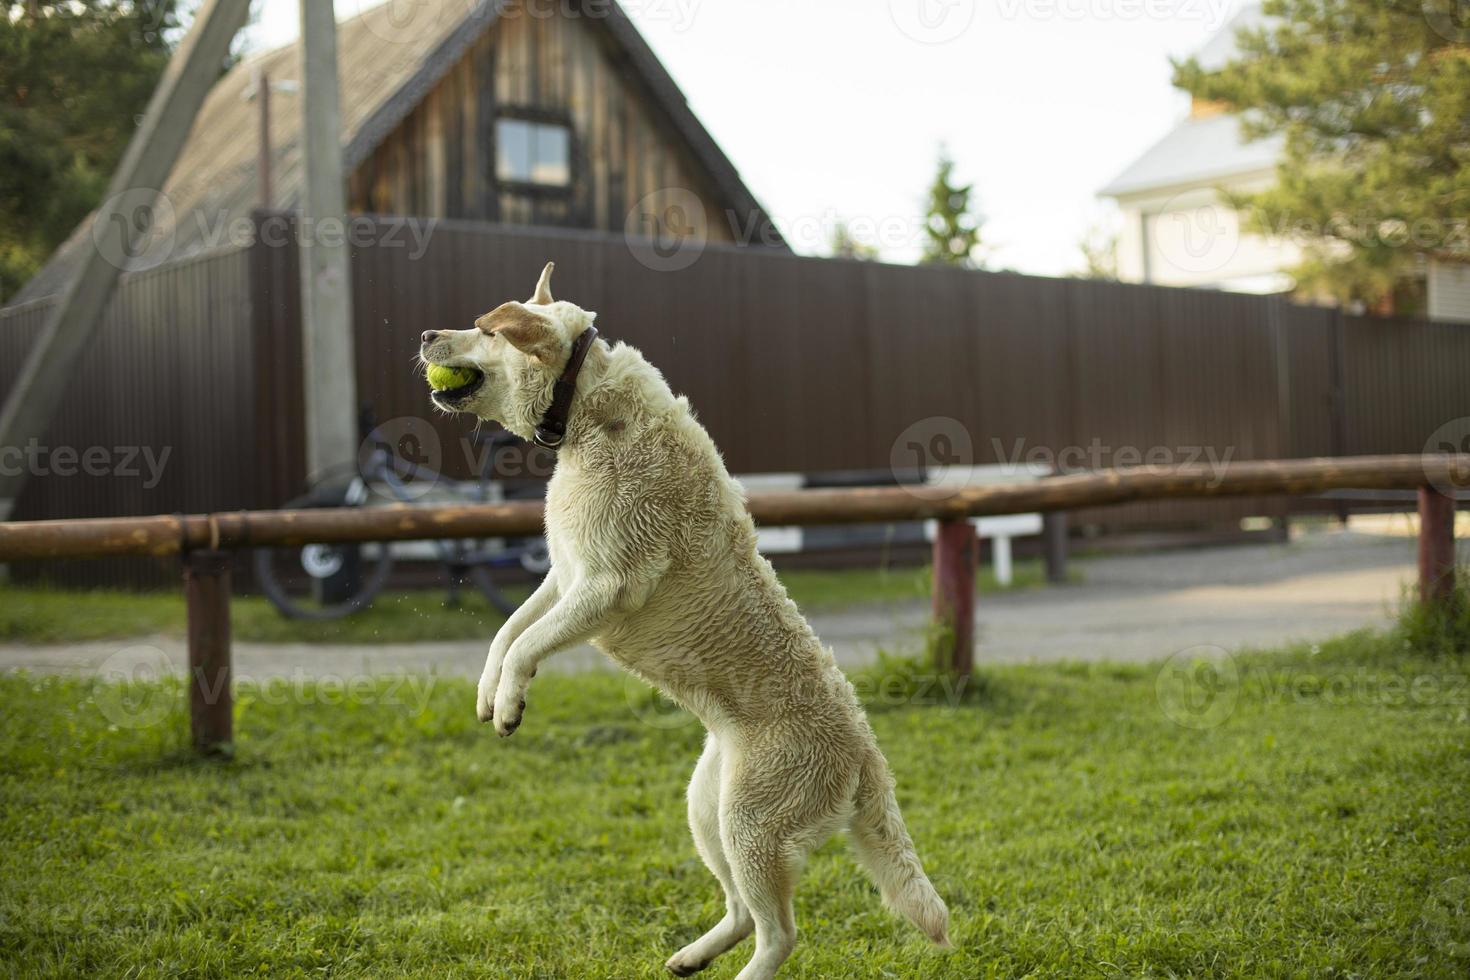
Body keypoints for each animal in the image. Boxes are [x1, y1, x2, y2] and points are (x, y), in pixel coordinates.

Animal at [420, 262, 946, 980]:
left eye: (483, 330)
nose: (424, 335)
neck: (588, 407)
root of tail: (867, 753)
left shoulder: (605, 586)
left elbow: (529, 643)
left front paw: (508, 706)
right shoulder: (563, 573)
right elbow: (508, 634)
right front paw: (488, 693)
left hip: (751, 826)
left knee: (779, 933)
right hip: (707, 811)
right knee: (743, 914)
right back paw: (693, 958)